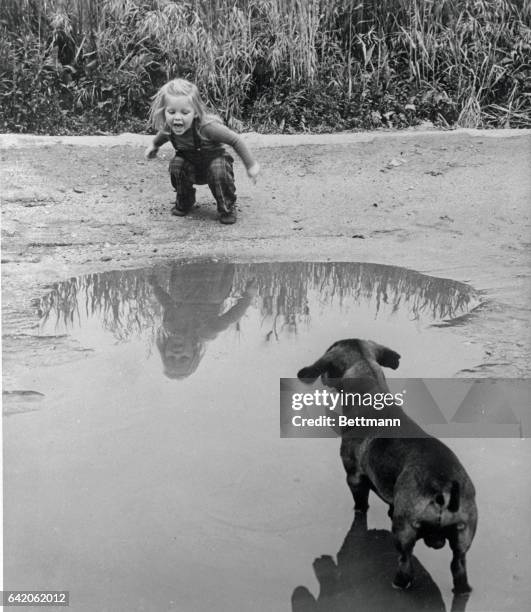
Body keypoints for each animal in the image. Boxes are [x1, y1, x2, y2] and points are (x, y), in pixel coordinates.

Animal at [300, 338, 478, 596]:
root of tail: (444, 486)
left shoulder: (354, 478)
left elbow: (360, 504)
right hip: (463, 538)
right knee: (458, 565)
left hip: (404, 534)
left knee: (405, 563)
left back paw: (398, 583)